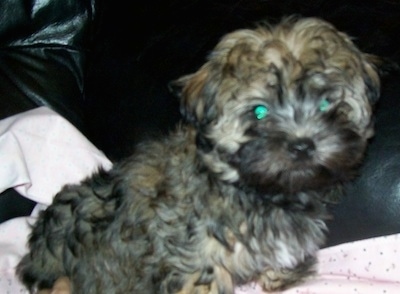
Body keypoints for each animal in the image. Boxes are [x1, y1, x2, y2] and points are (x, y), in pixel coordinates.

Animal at [18, 17, 382, 292]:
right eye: (260, 111)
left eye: (327, 103)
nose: (303, 144)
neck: (257, 192)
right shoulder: (196, 263)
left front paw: (281, 276)